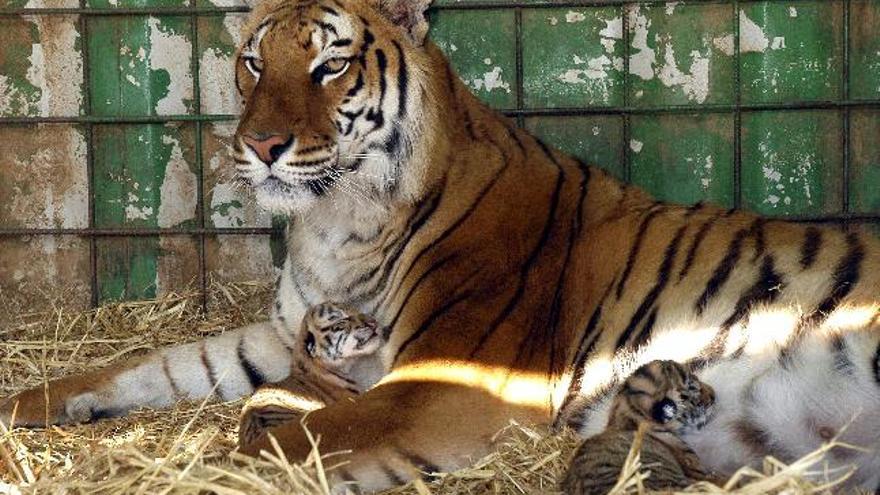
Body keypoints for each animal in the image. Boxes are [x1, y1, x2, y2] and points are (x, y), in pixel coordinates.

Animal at [1, 0, 880, 494]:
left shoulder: (446, 381)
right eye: (254, 61)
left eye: (329, 65)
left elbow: (296, 438)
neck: (334, 222)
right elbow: (154, 364)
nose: (260, 145)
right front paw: (28, 406)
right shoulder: (286, 334)